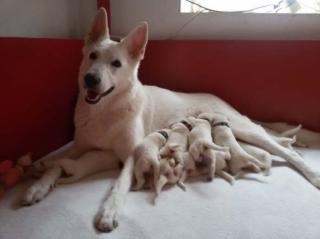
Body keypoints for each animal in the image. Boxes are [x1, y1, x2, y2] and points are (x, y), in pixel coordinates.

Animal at [19, 8, 320, 232]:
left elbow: (119, 184)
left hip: (243, 128)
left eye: (116, 64)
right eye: (92, 56)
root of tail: (219, 99)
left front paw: (109, 211)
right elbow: (55, 165)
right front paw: (39, 185)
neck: (104, 111)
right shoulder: (81, 148)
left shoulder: (130, 155)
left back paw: (312, 173)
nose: (90, 79)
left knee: (287, 151)